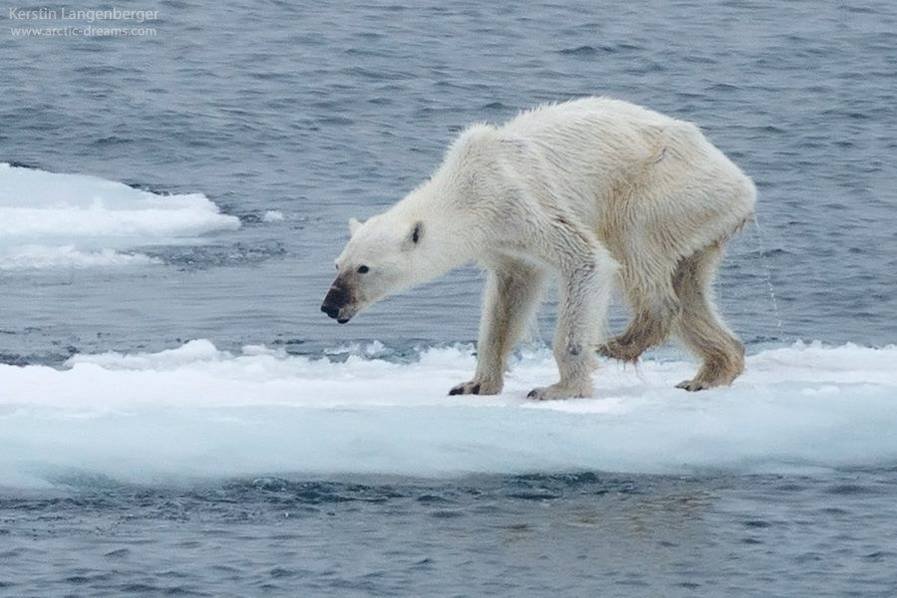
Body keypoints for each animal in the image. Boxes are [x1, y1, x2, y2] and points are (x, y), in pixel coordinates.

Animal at [322, 97, 756, 398]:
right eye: (337, 264)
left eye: (363, 268)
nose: (330, 305)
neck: (469, 187)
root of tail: (742, 183)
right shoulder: (502, 241)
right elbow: (508, 298)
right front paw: (474, 384)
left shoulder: (521, 201)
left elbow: (586, 260)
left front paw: (558, 389)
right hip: (701, 220)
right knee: (690, 288)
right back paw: (711, 371)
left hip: (667, 188)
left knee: (633, 243)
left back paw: (621, 343)